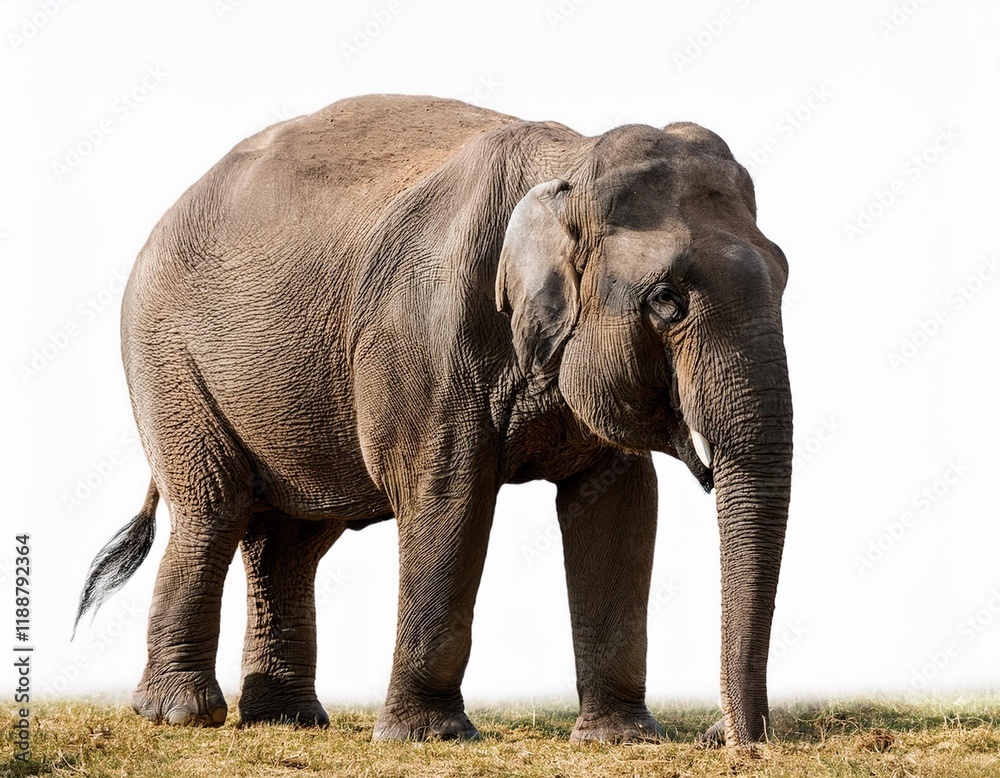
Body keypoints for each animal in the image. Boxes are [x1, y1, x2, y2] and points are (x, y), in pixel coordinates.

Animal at [75, 94, 792, 748]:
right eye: (667, 300)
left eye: (785, 277)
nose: (726, 737)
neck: (571, 163)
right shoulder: (427, 338)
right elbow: (448, 498)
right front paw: (428, 737)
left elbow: (620, 504)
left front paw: (622, 739)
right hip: (167, 360)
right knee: (213, 510)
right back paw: (181, 714)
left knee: (290, 541)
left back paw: (286, 719)